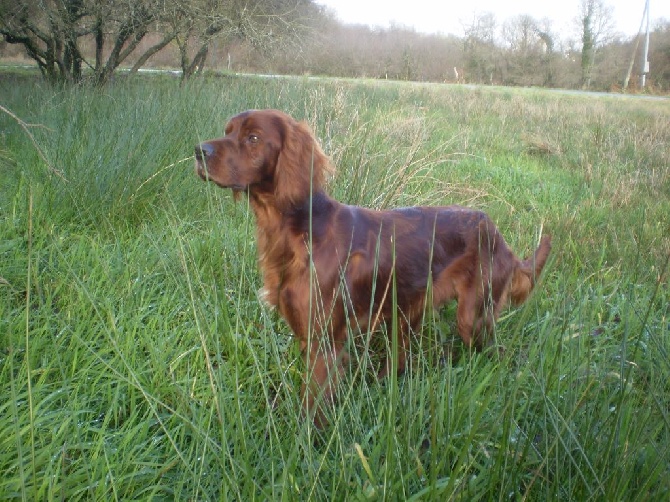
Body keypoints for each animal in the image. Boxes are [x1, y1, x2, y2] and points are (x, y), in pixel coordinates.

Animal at [194, 110, 552, 428]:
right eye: (227, 130)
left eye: (253, 138)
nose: (199, 151)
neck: (299, 231)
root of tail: (499, 236)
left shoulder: (325, 342)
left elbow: (313, 405)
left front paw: (305, 444)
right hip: (406, 311)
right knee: (402, 358)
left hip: (473, 315)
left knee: (494, 349)